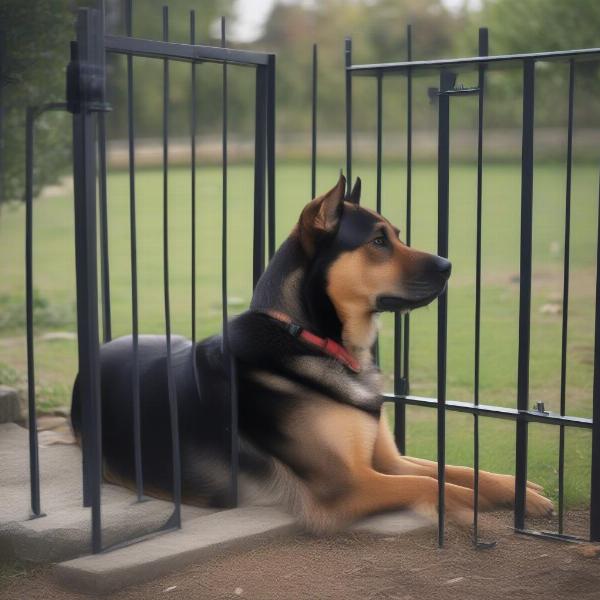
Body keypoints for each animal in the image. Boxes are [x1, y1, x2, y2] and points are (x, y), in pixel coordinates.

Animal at [71, 176, 552, 532]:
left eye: (396, 235)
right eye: (378, 241)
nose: (449, 266)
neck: (310, 339)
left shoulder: (386, 460)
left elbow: (456, 470)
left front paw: (520, 491)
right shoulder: (349, 484)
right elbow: (433, 484)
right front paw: (471, 507)